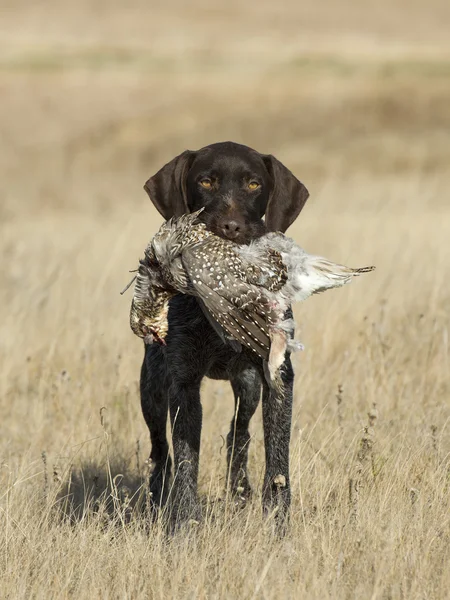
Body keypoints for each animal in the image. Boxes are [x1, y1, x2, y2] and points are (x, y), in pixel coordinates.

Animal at [141, 141, 310, 528]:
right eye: (206, 181)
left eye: (253, 184)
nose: (230, 227)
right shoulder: (183, 381)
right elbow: (186, 461)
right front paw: (183, 527)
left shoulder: (278, 375)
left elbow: (277, 460)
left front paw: (278, 525)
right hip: (152, 387)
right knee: (160, 450)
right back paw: (157, 499)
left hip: (247, 386)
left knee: (239, 433)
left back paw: (240, 491)